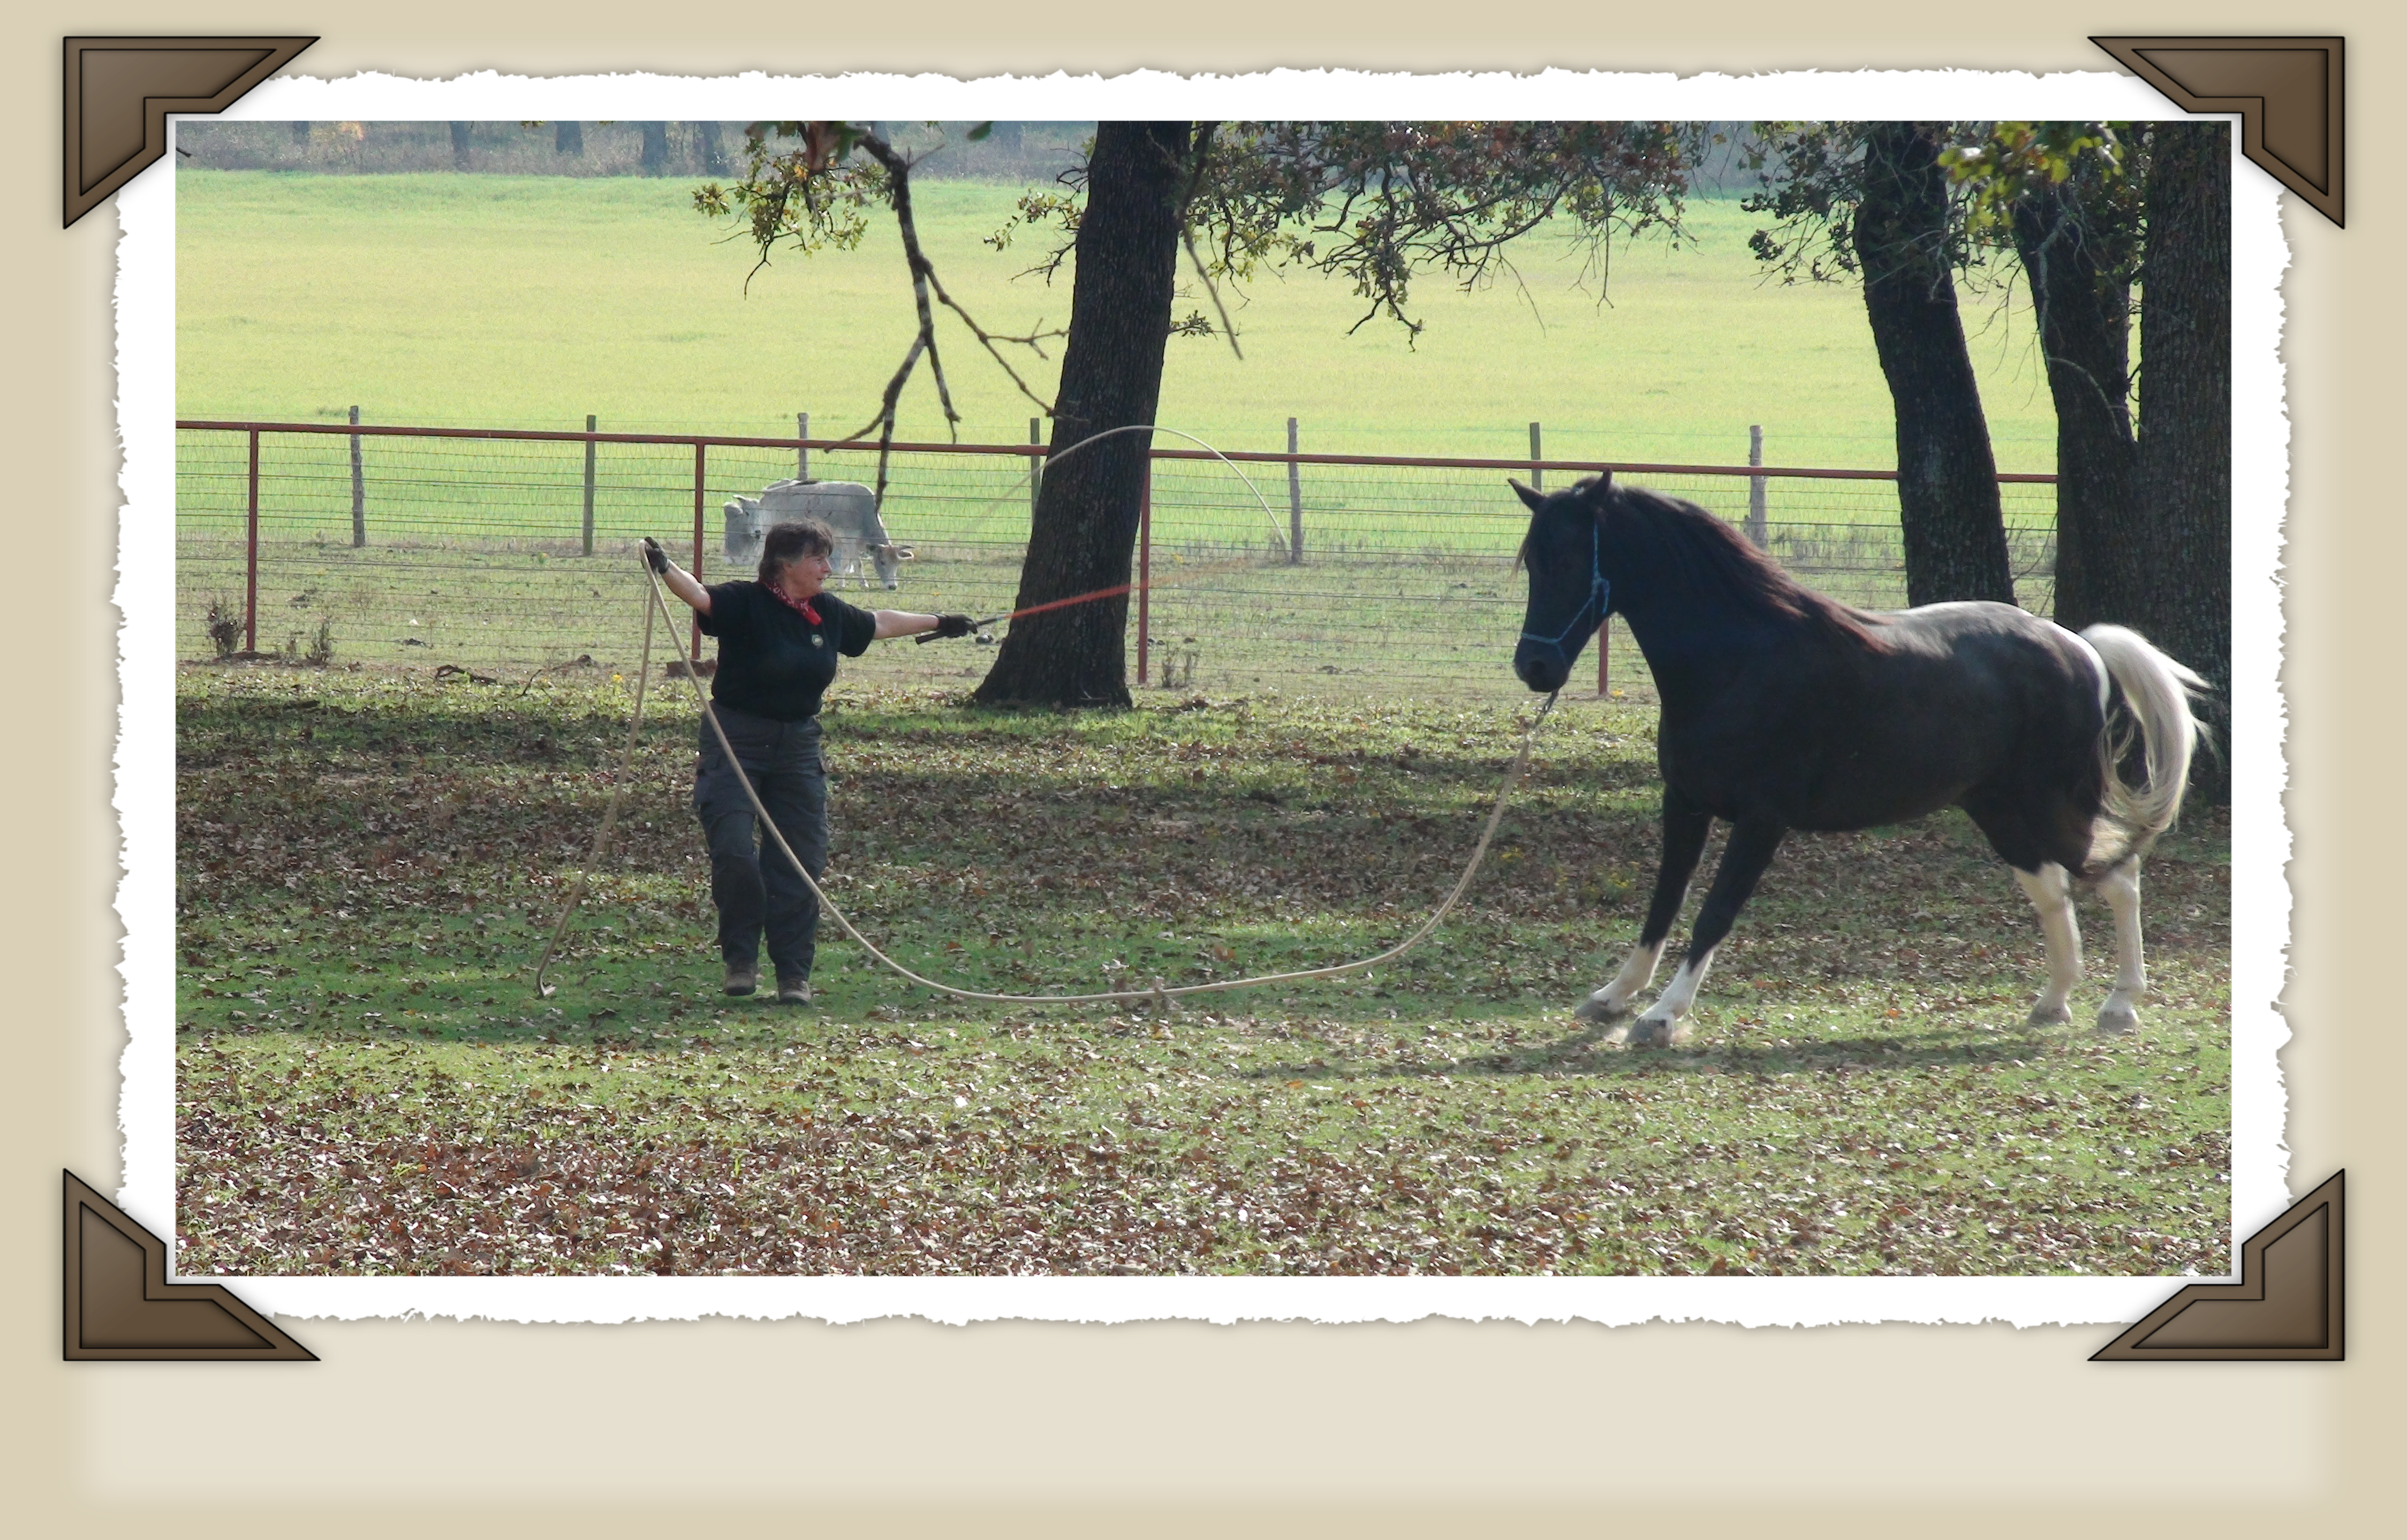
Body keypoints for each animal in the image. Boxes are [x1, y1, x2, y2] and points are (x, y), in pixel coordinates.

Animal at [717, 481, 914, 589]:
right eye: (882, 562)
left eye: (897, 563)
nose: (892, 586)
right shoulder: (850, 539)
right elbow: (856, 562)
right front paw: (862, 583)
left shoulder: (845, 541)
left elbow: (846, 563)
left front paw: (842, 582)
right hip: (767, 533)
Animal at [1511, 472, 2205, 1049]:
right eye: (1531, 563)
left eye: (1569, 559)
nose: (1534, 668)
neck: (1737, 661)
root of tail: (2079, 648)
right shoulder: (1683, 806)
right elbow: (1660, 906)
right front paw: (1612, 998)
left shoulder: (1761, 820)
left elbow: (1713, 914)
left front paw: (1661, 1016)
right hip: (2002, 813)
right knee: (2053, 890)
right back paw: (2052, 1003)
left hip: (2053, 806)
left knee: (2117, 877)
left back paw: (2118, 1006)